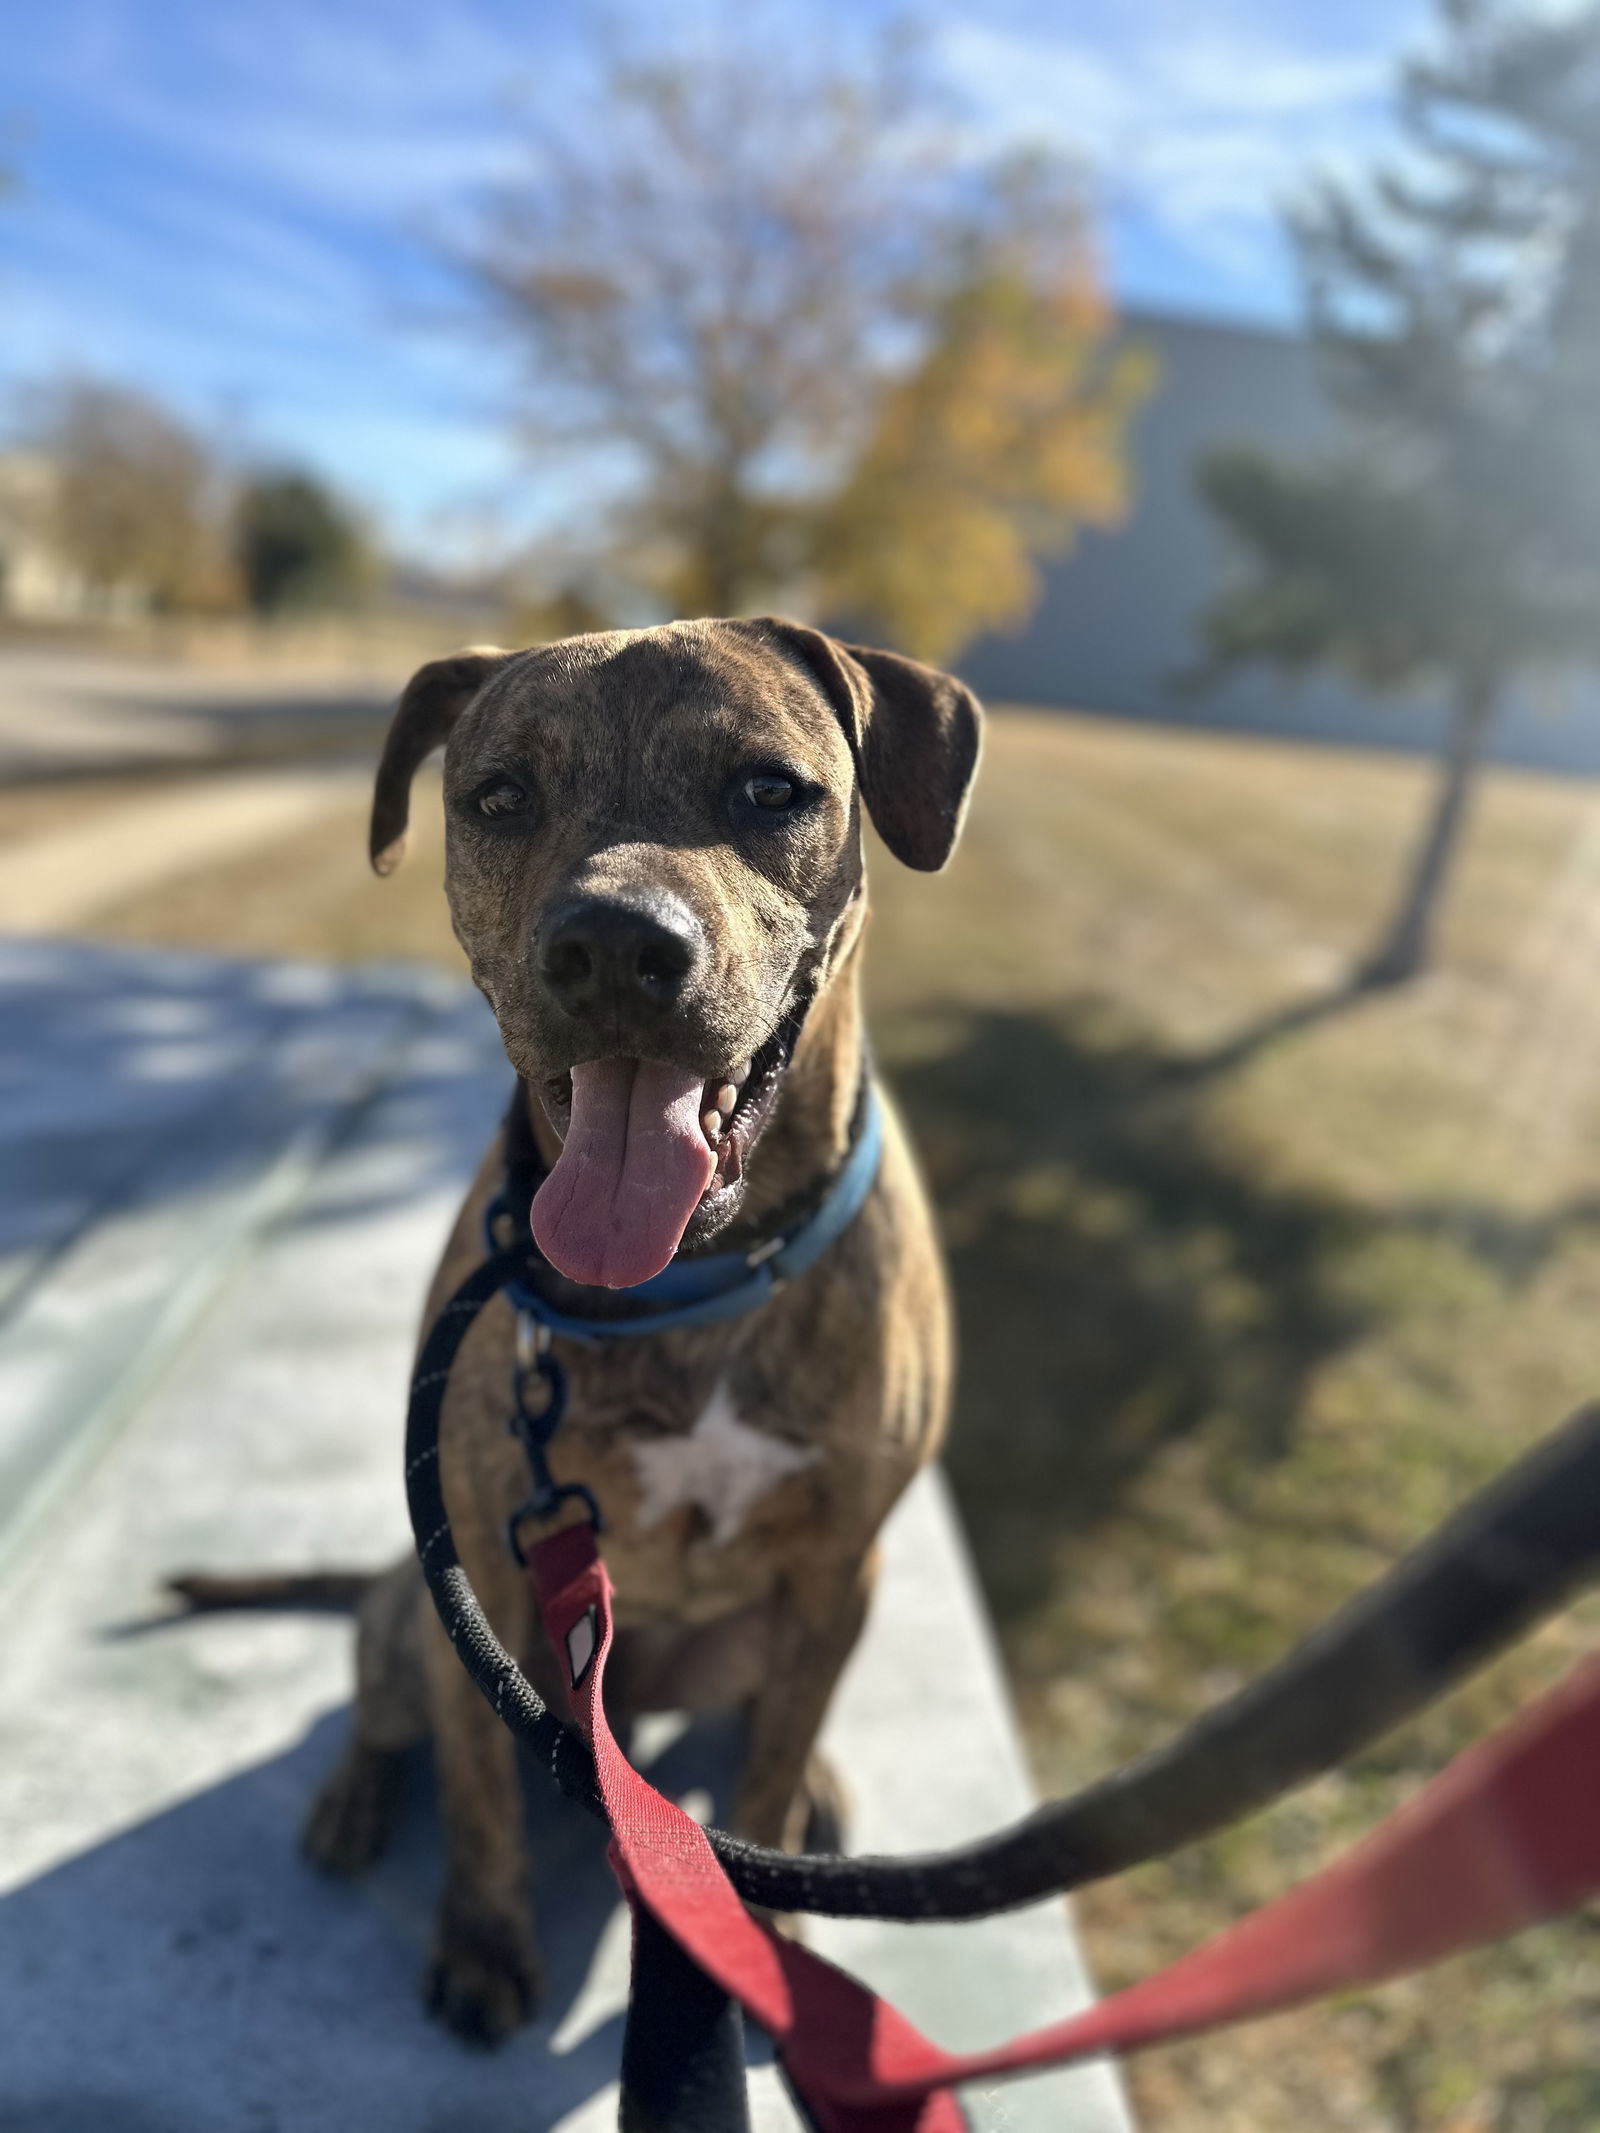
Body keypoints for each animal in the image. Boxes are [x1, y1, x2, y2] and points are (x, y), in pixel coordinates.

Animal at [251, 618, 985, 2030]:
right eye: (498, 797)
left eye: (769, 789)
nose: (609, 945)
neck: (692, 1279)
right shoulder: (476, 1567)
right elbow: (479, 1791)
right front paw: (485, 1936)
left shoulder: (837, 1571)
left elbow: (768, 1766)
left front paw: (769, 1926)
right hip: (415, 1607)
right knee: (383, 1707)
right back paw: (354, 1795)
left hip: (765, 1632)